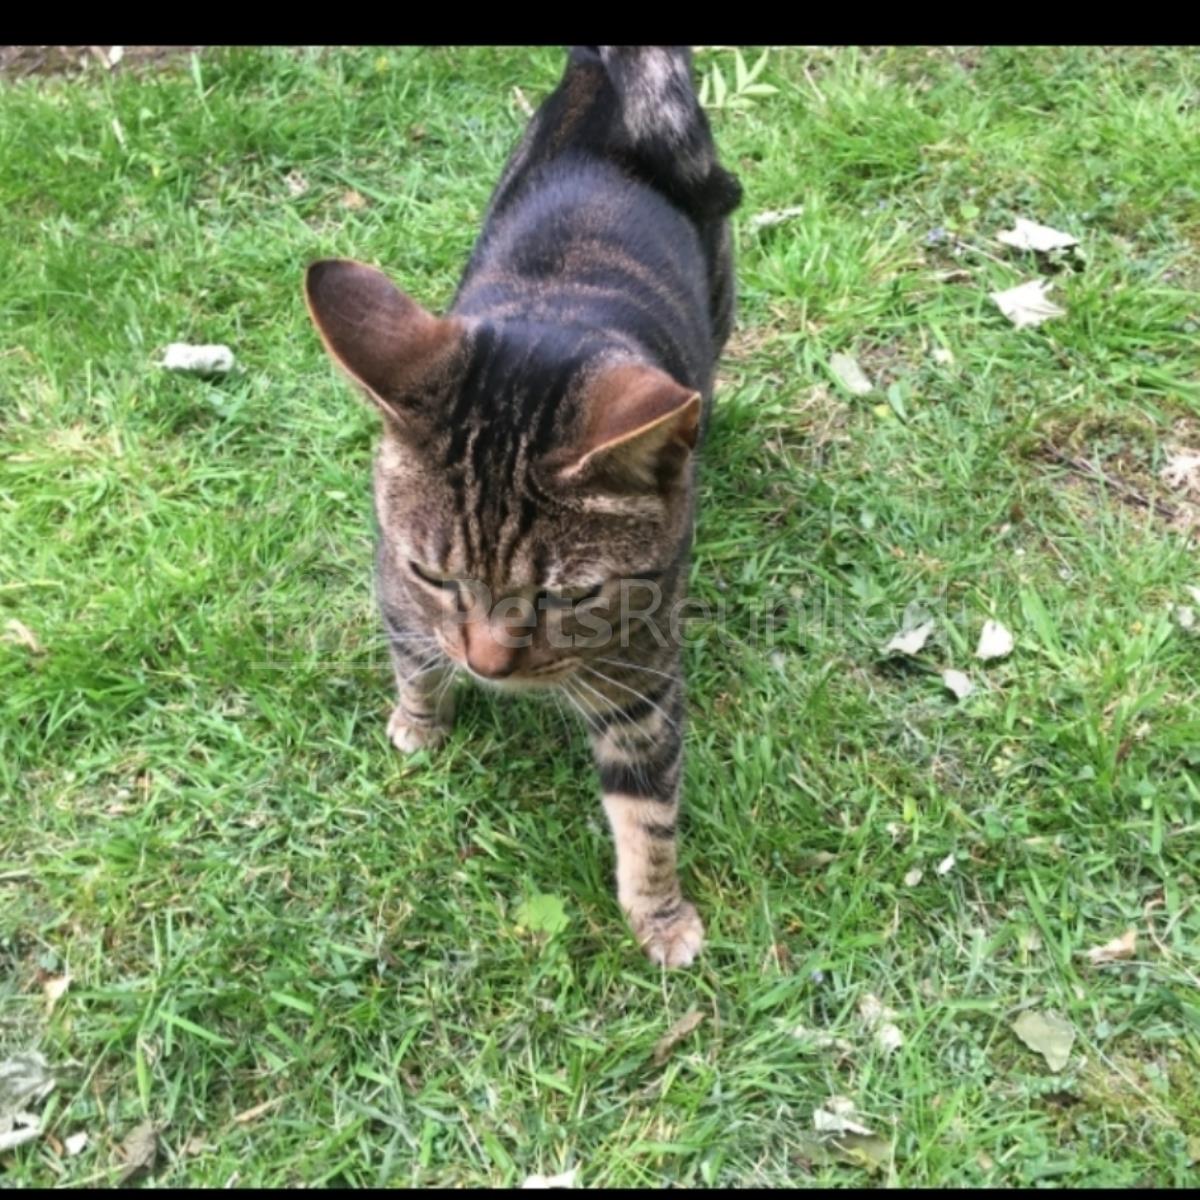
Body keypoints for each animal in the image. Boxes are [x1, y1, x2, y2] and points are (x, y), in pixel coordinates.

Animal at [303, 45, 741, 967]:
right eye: (434, 574)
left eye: (570, 596)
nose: (488, 668)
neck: (555, 318)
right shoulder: (395, 590)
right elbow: (411, 659)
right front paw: (420, 719)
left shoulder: (643, 677)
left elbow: (649, 814)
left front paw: (659, 913)